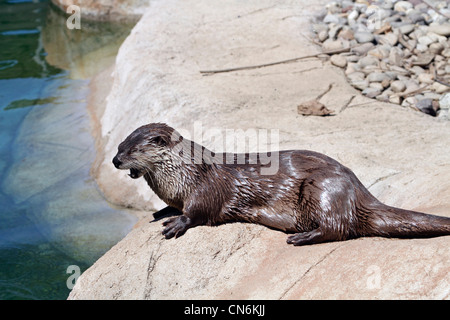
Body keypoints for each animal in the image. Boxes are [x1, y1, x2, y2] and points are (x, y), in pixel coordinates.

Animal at [112, 122, 450, 245]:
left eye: (132, 150)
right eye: (118, 146)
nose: (115, 161)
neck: (184, 173)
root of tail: (361, 193)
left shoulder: (206, 187)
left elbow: (199, 212)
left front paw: (177, 223)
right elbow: (173, 205)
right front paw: (162, 211)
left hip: (322, 187)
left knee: (338, 228)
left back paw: (301, 237)